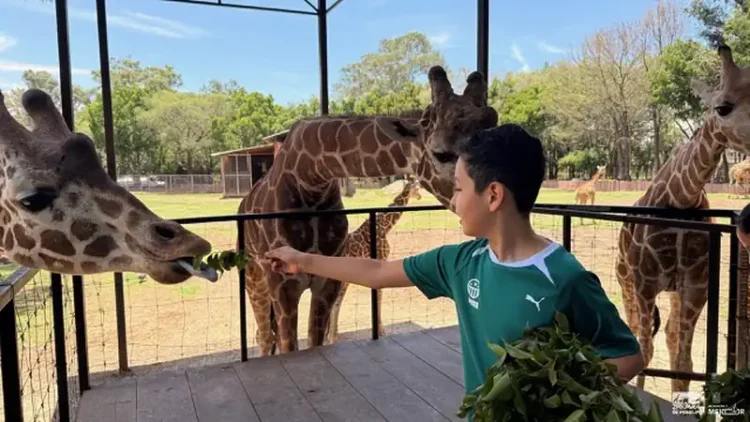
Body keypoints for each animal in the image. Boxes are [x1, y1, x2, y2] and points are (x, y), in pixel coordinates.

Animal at [326, 177, 422, 344]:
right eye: (416, 187)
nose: (420, 197)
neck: (385, 225)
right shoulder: (381, 260)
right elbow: (379, 296)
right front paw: (381, 330)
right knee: (335, 302)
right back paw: (332, 337)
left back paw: (329, 335)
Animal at [615, 45, 750, 393]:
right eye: (722, 107)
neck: (681, 197)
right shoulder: (645, 283)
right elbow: (643, 353)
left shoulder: (695, 286)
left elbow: (684, 364)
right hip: (625, 282)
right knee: (636, 332)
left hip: (673, 293)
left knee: (670, 336)